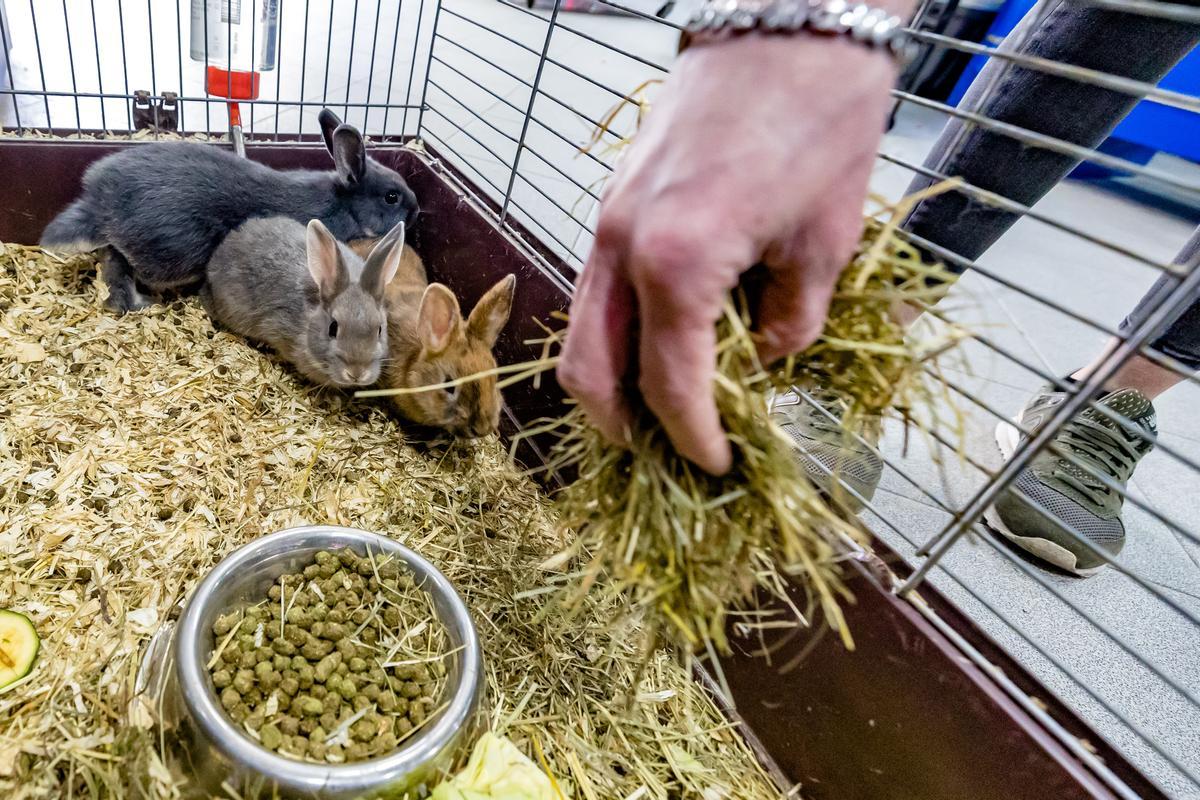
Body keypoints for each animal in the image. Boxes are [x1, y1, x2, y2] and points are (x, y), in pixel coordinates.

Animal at [39, 108, 417, 311]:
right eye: (392, 197)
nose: (415, 211)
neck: (344, 203)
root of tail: (100, 200)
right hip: (174, 254)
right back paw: (138, 302)